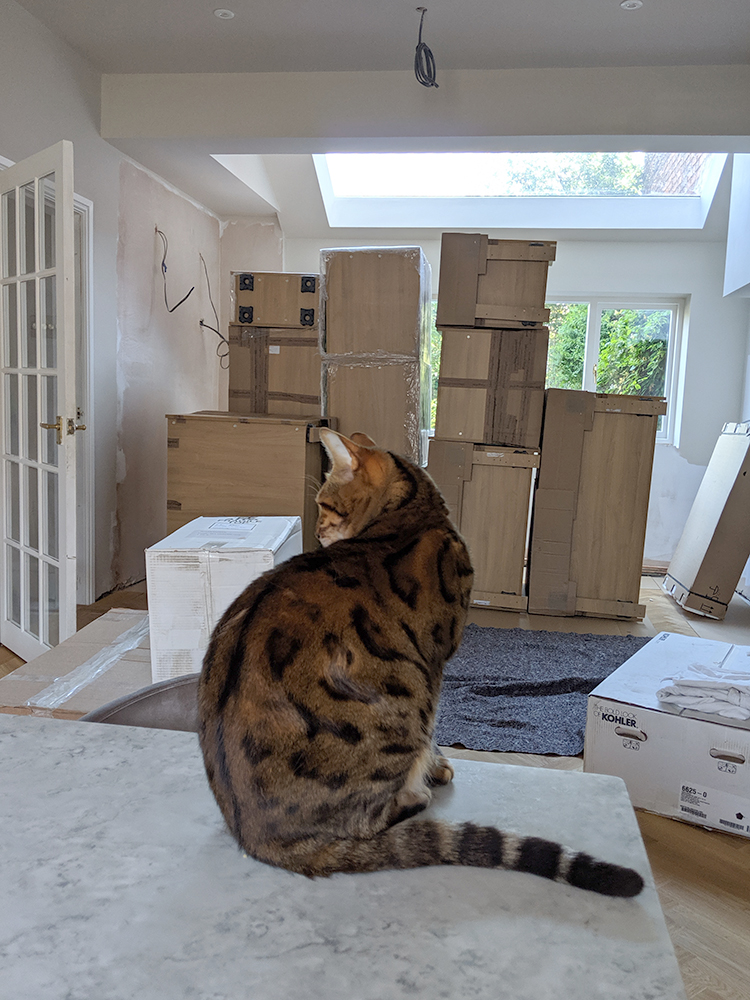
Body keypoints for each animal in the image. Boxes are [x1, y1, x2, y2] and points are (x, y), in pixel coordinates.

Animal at [198, 429, 643, 898]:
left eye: (324, 505)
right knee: (372, 817)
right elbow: (435, 734)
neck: (413, 513)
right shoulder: (436, 664)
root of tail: (254, 836)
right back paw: (414, 795)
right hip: (403, 701)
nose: (316, 533)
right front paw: (436, 766)